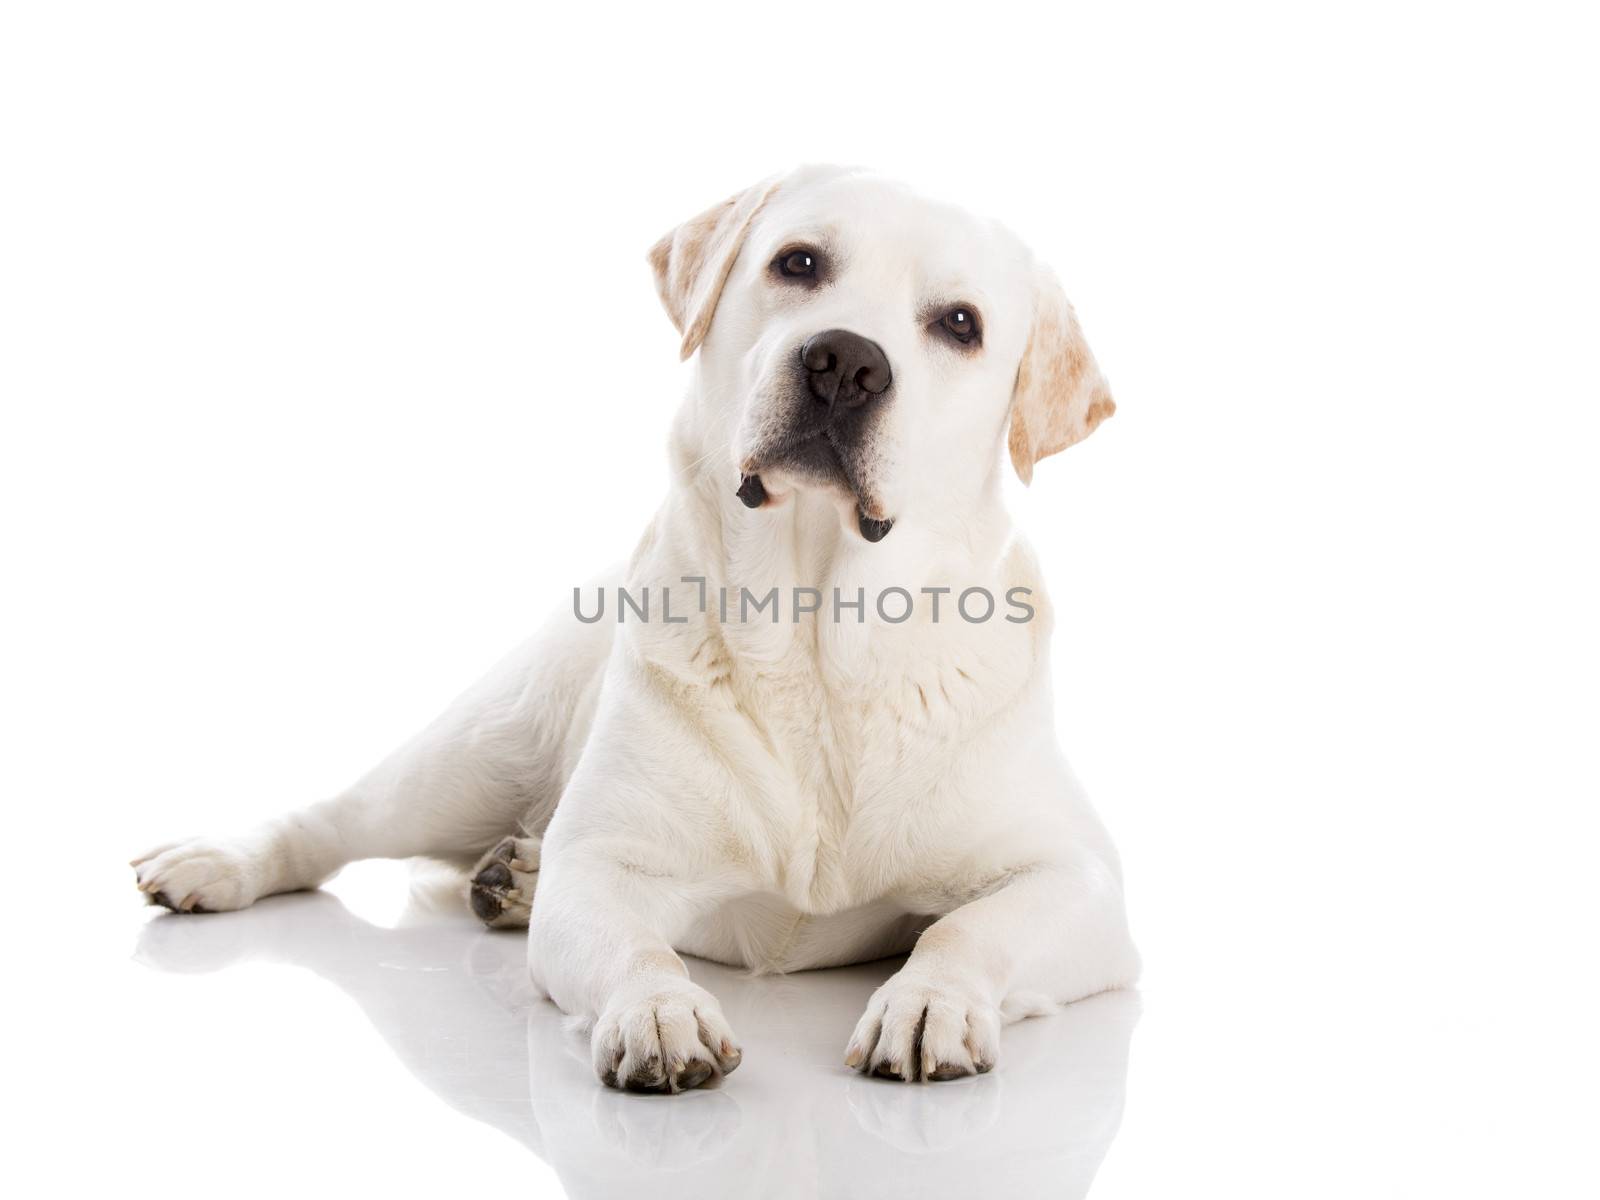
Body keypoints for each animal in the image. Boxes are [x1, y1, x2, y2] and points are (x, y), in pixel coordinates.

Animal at [134, 167, 1139, 1100]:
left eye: (961, 324)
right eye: (798, 264)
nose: (846, 361)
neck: (817, 636)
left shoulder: (1082, 882)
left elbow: (967, 924)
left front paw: (927, 1001)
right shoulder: (600, 871)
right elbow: (635, 945)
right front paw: (659, 1013)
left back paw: (512, 876)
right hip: (475, 752)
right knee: (336, 820)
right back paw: (219, 862)